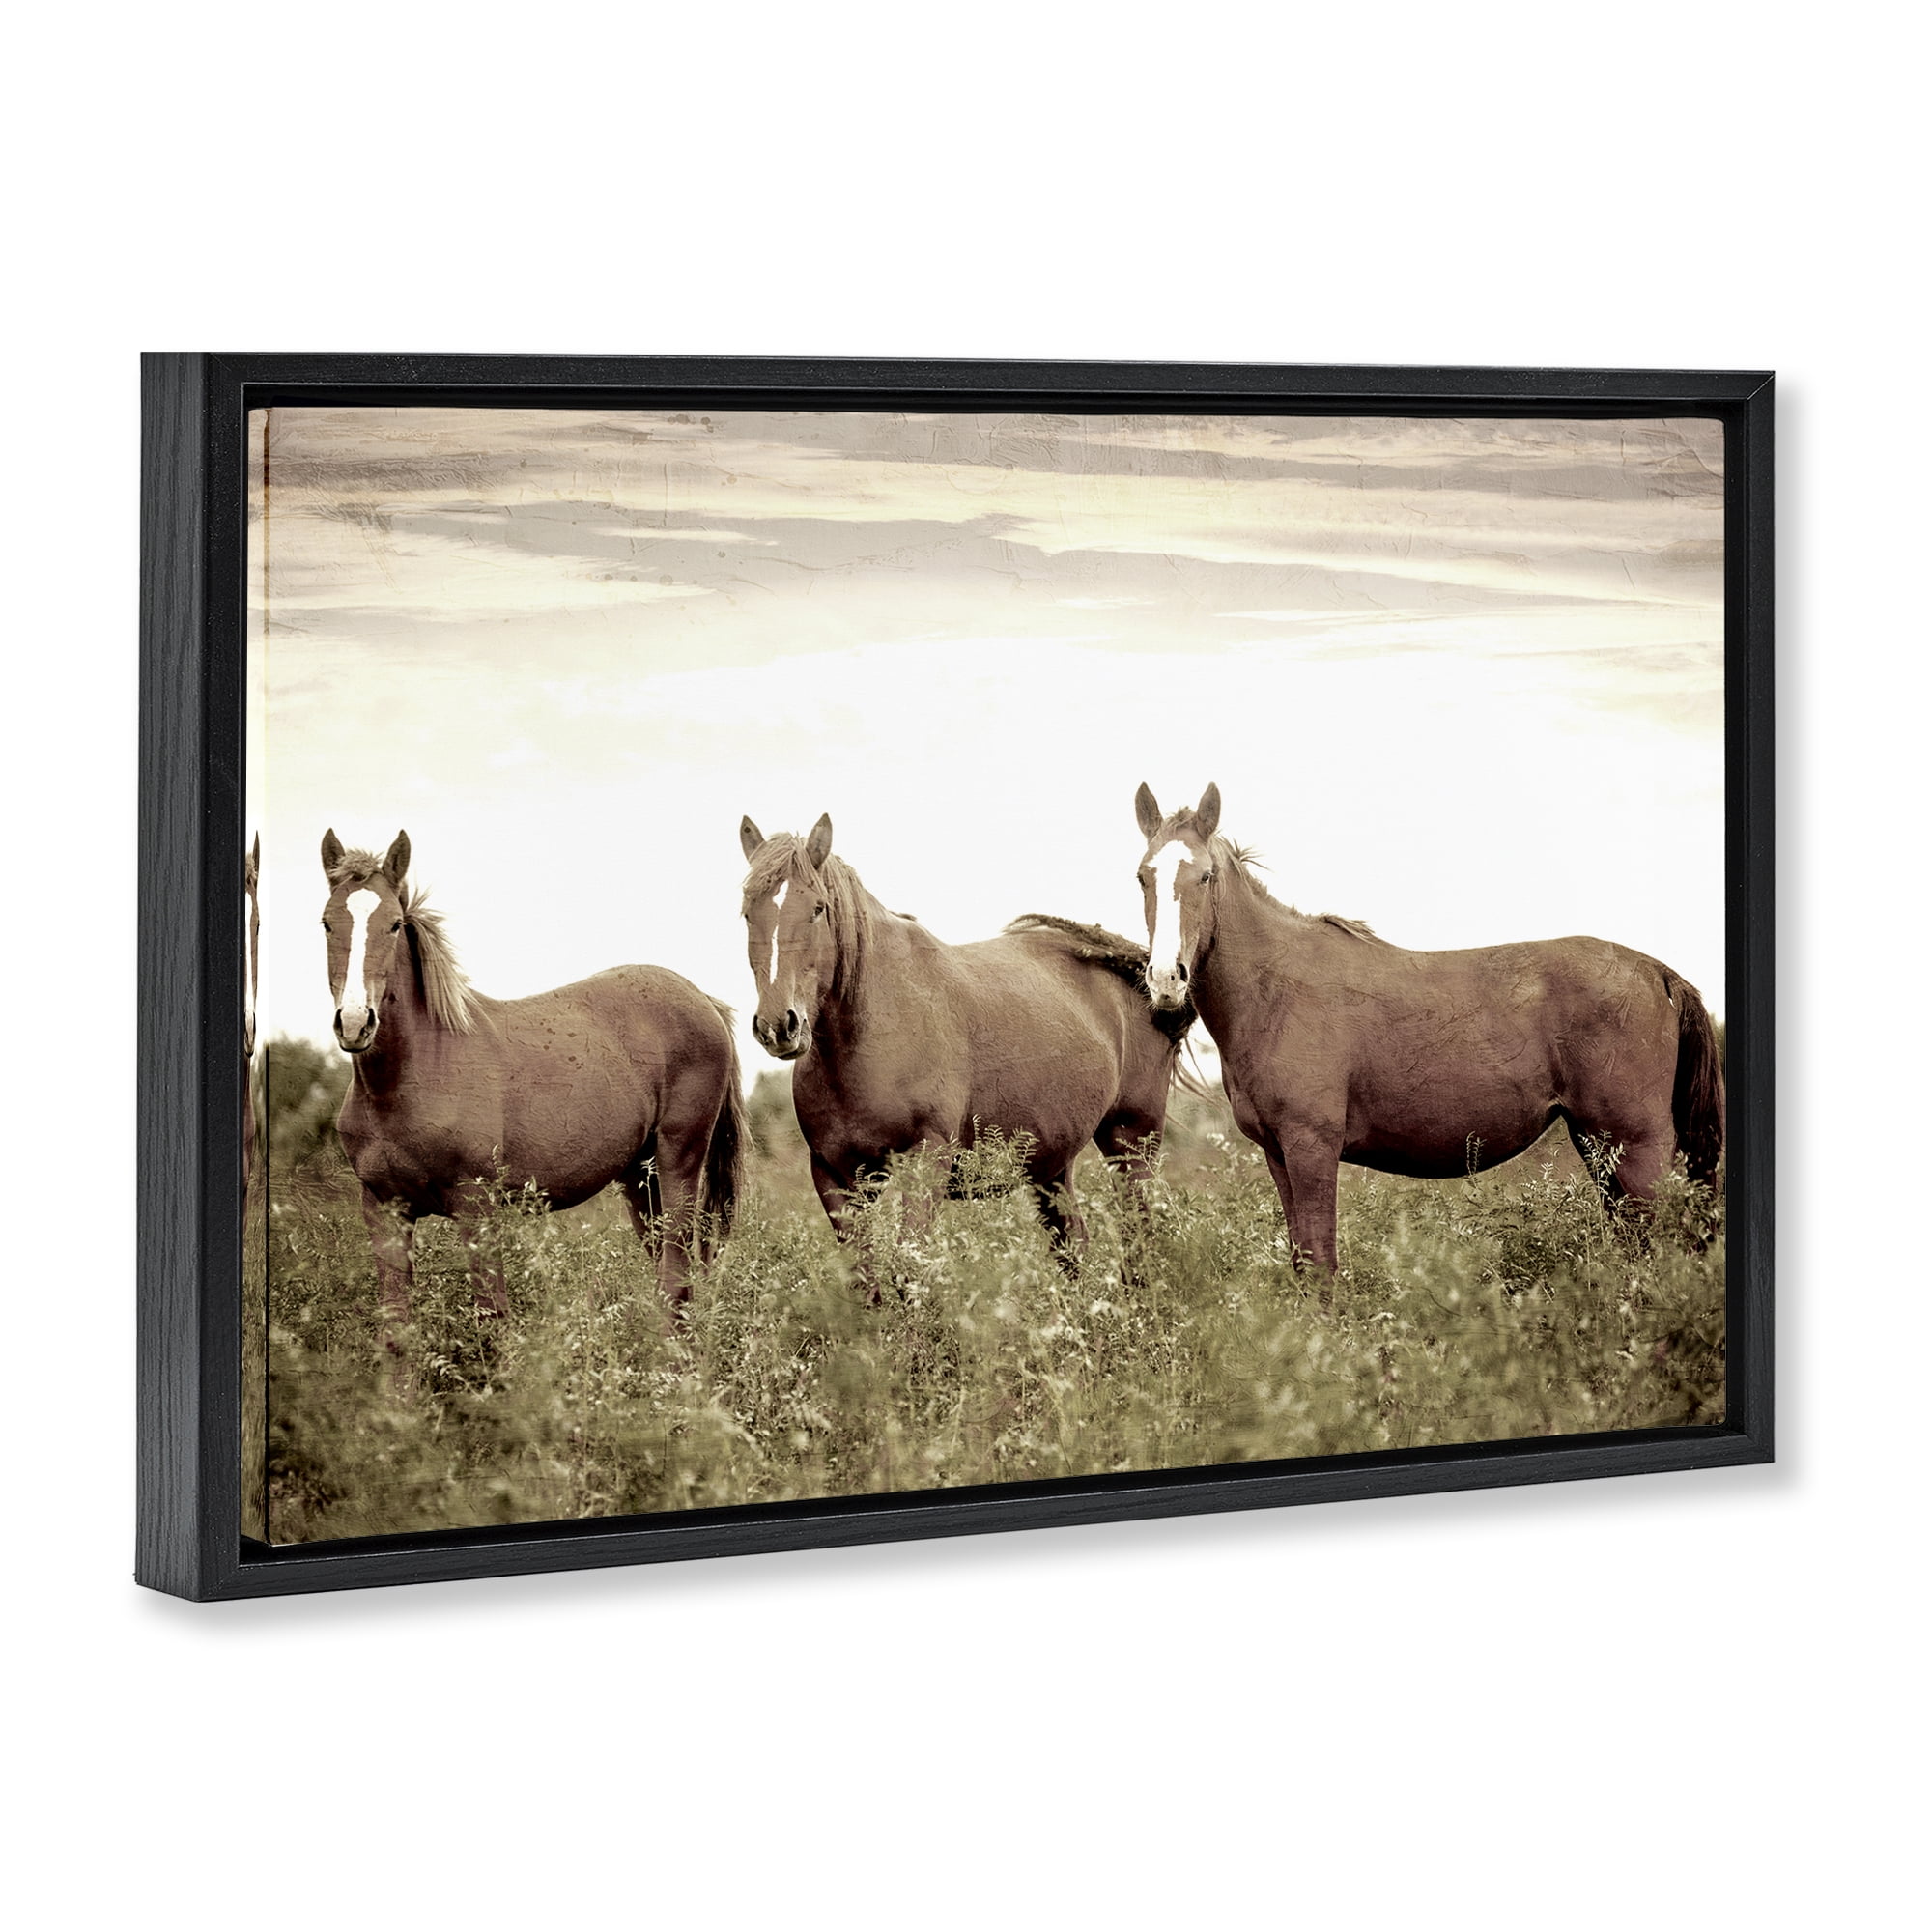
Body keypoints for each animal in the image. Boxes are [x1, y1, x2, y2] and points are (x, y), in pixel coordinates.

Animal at [318, 829, 746, 1326]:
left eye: (392, 924)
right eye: (327, 923)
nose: (354, 1023)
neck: (407, 1080)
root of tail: (704, 1000)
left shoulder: (477, 1208)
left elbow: (492, 1316)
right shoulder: (384, 1211)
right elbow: (396, 1326)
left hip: (678, 1164)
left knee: (676, 1274)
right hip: (640, 1180)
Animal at [738, 813, 1191, 1292]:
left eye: (818, 908)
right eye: (748, 911)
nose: (778, 1026)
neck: (872, 1030)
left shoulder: (926, 1161)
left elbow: (909, 1269)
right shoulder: (834, 1176)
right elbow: (866, 1280)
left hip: (1131, 1143)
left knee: (1138, 1236)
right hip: (1051, 1167)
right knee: (1073, 1246)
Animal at [1131, 783, 1725, 1270]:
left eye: (1205, 876)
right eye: (1142, 877)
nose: (1166, 978)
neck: (1275, 990)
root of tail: (1659, 974)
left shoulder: (1311, 1148)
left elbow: (1321, 1262)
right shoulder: (1279, 1153)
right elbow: (1303, 1261)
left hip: (1637, 1148)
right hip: (1599, 1146)